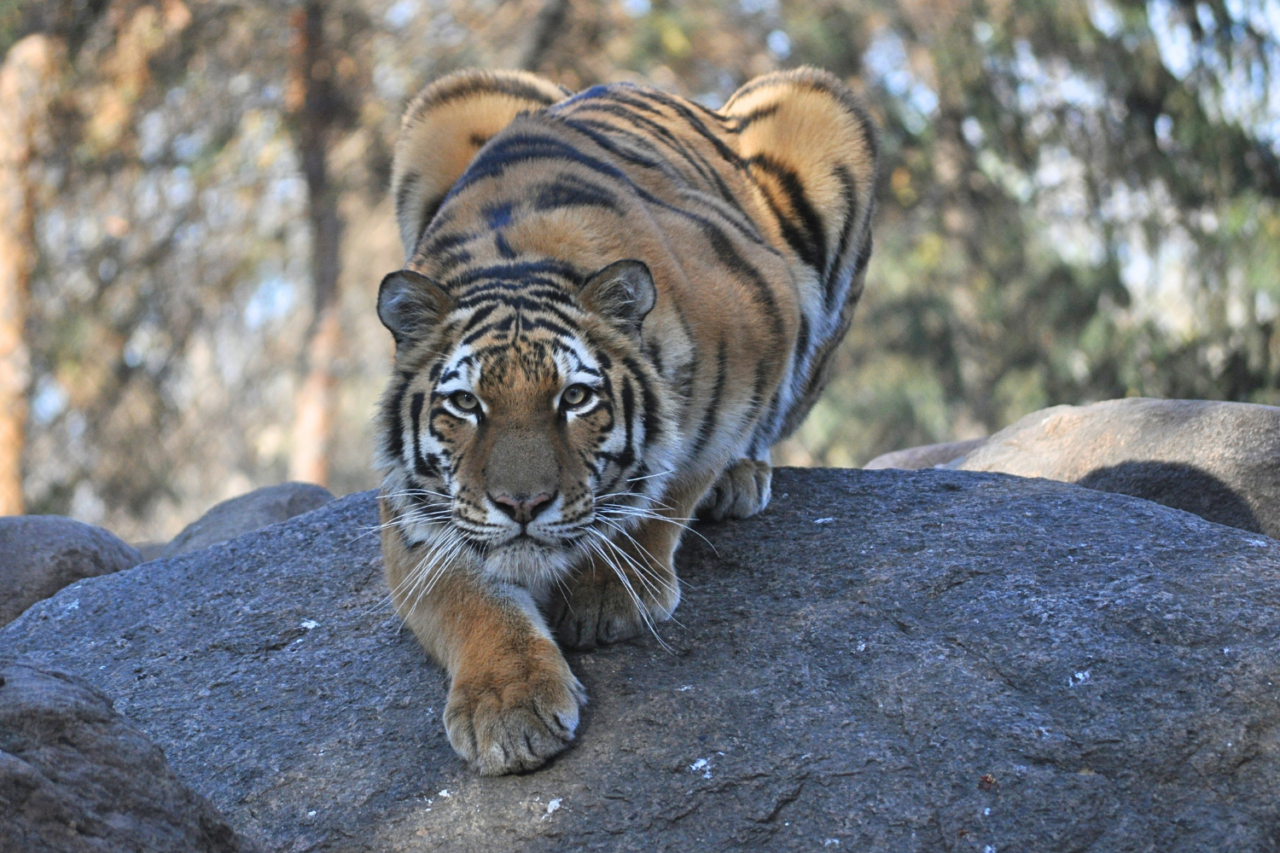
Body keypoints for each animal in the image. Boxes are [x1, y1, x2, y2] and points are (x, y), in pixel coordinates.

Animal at [374, 67, 879, 775]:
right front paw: (509, 709)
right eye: (467, 405)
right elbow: (470, 599)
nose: (522, 505)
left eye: (574, 399)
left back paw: (740, 479)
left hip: (819, 108)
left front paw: (608, 595)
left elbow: (672, 482)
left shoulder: (763, 320)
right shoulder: (417, 517)